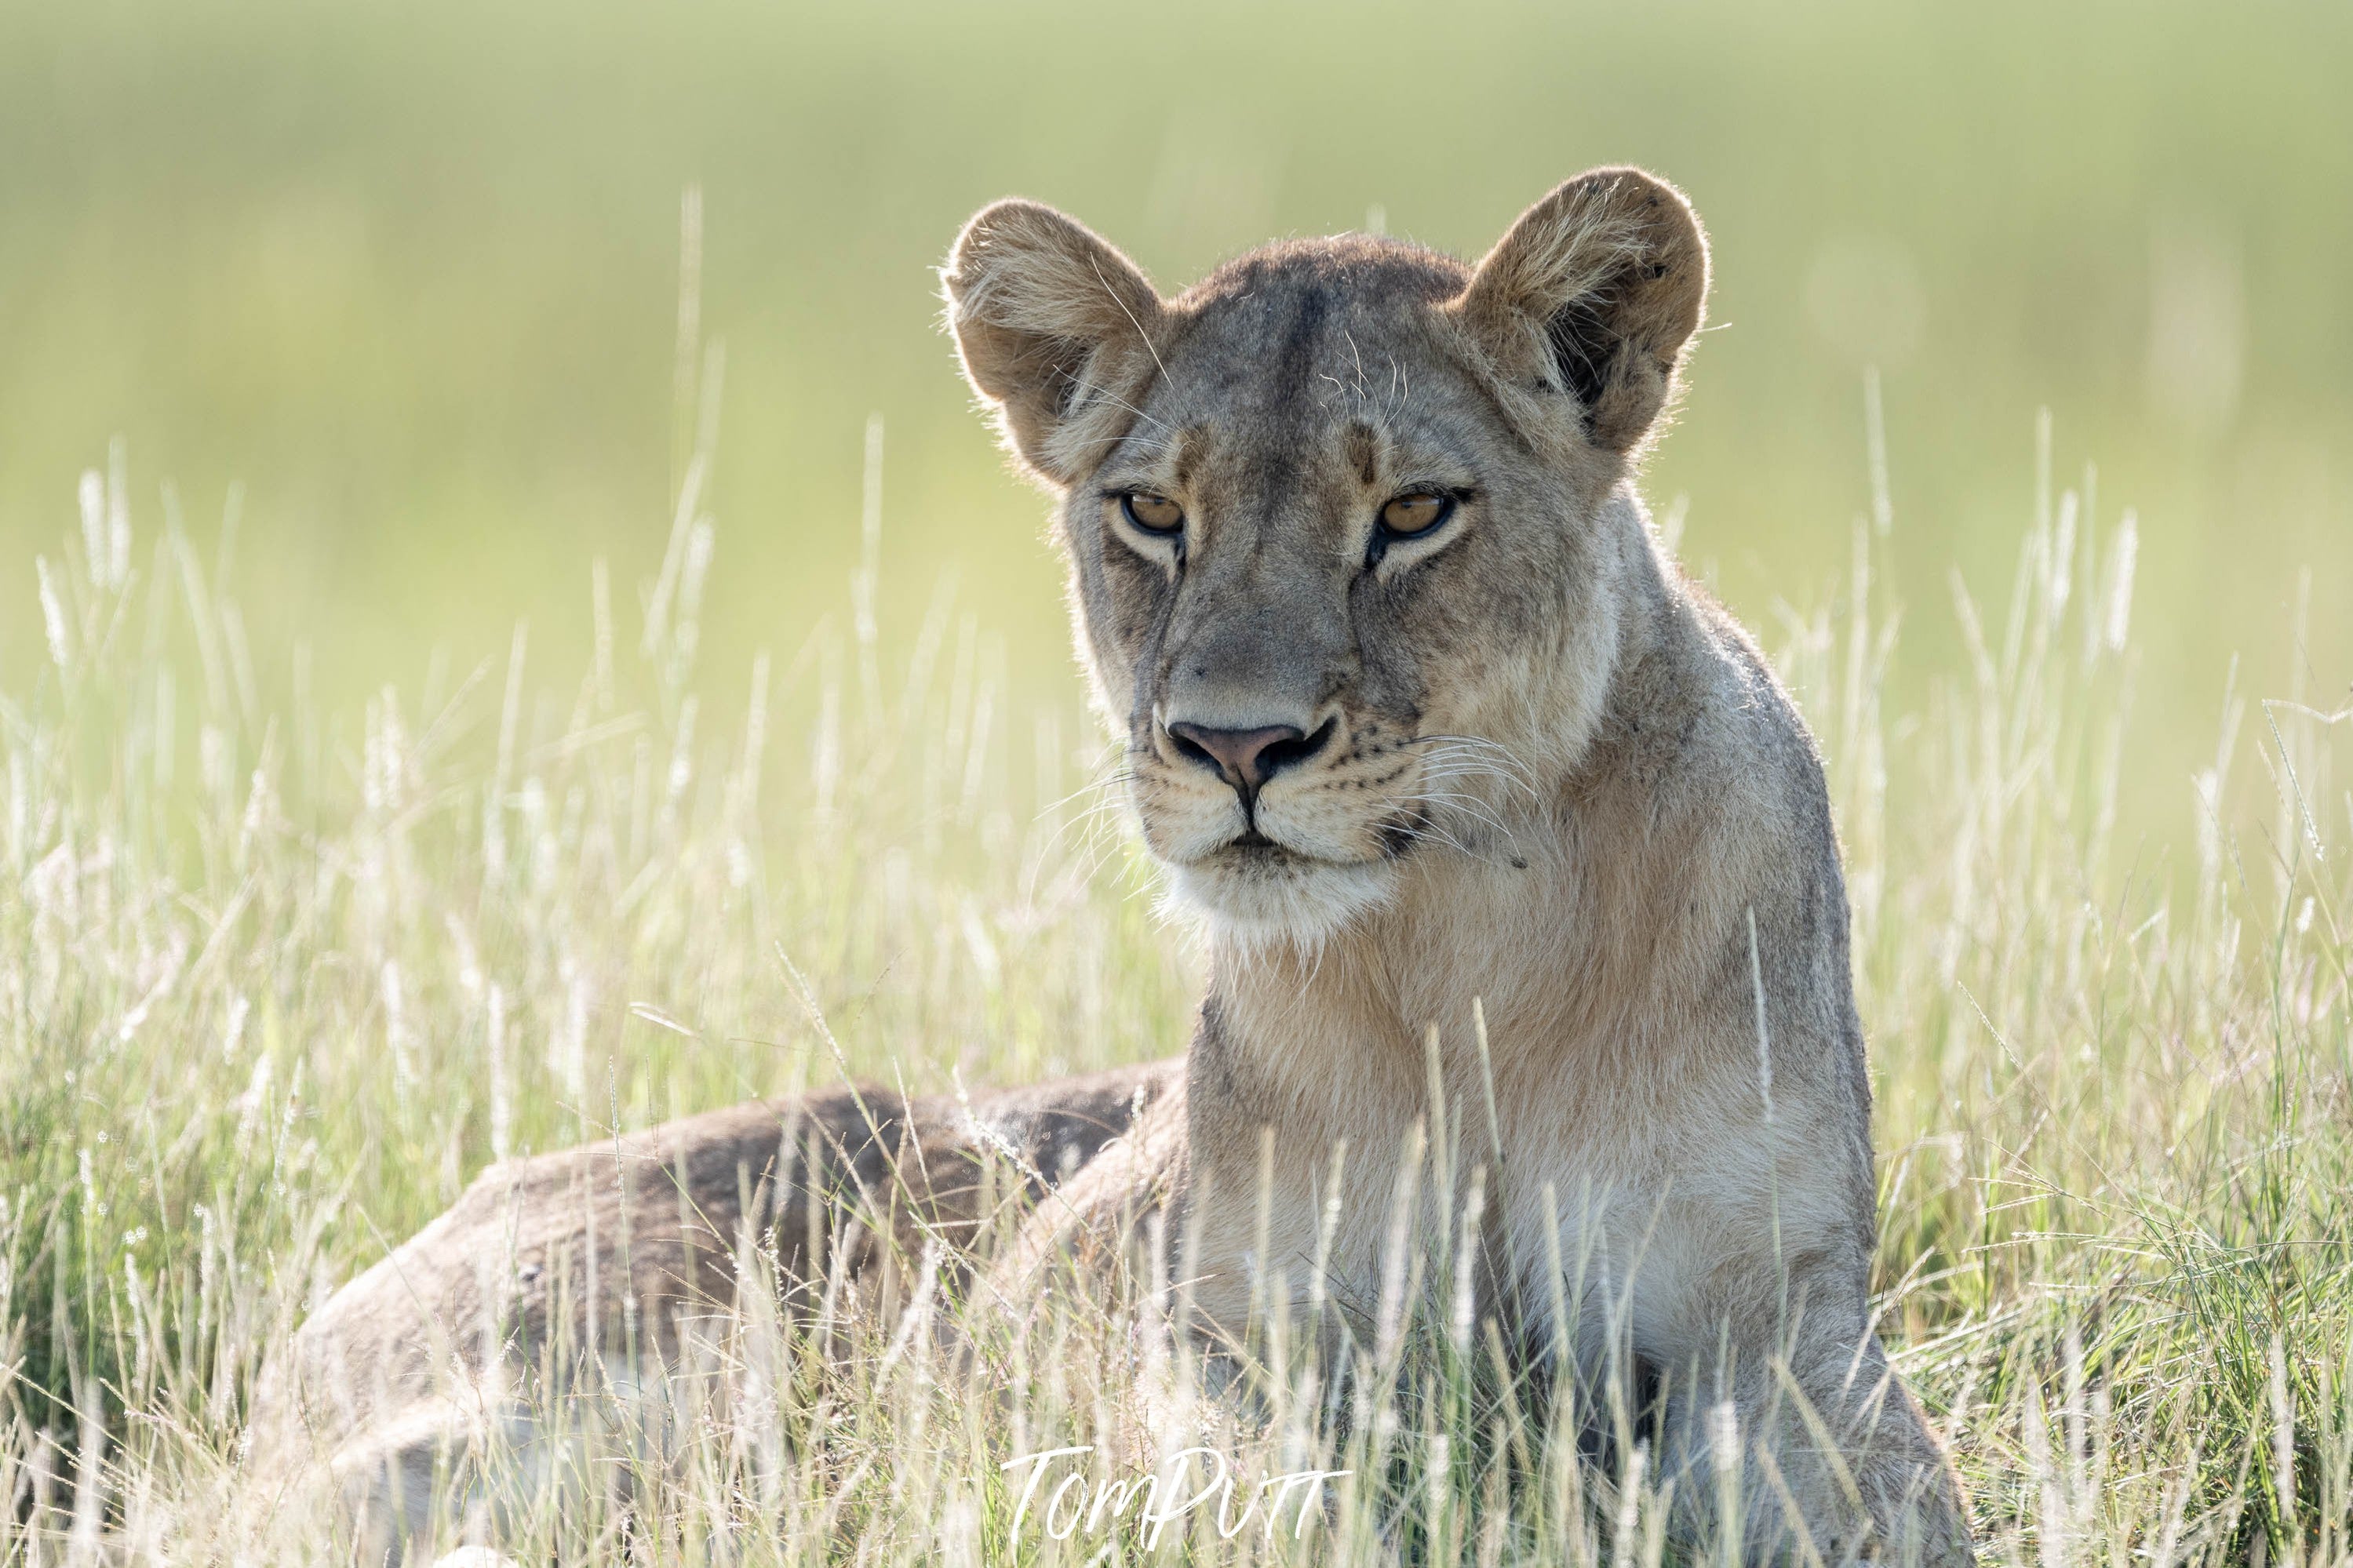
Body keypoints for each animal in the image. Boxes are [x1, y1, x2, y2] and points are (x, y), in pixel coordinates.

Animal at [248, 167, 1972, 1565]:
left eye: (1411, 512)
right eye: (1150, 511)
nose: (1233, 745)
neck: (1460, 948)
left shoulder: (1775, 1328)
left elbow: (1887, 1503)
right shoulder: (1237, 1337)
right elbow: (1247, 1496)